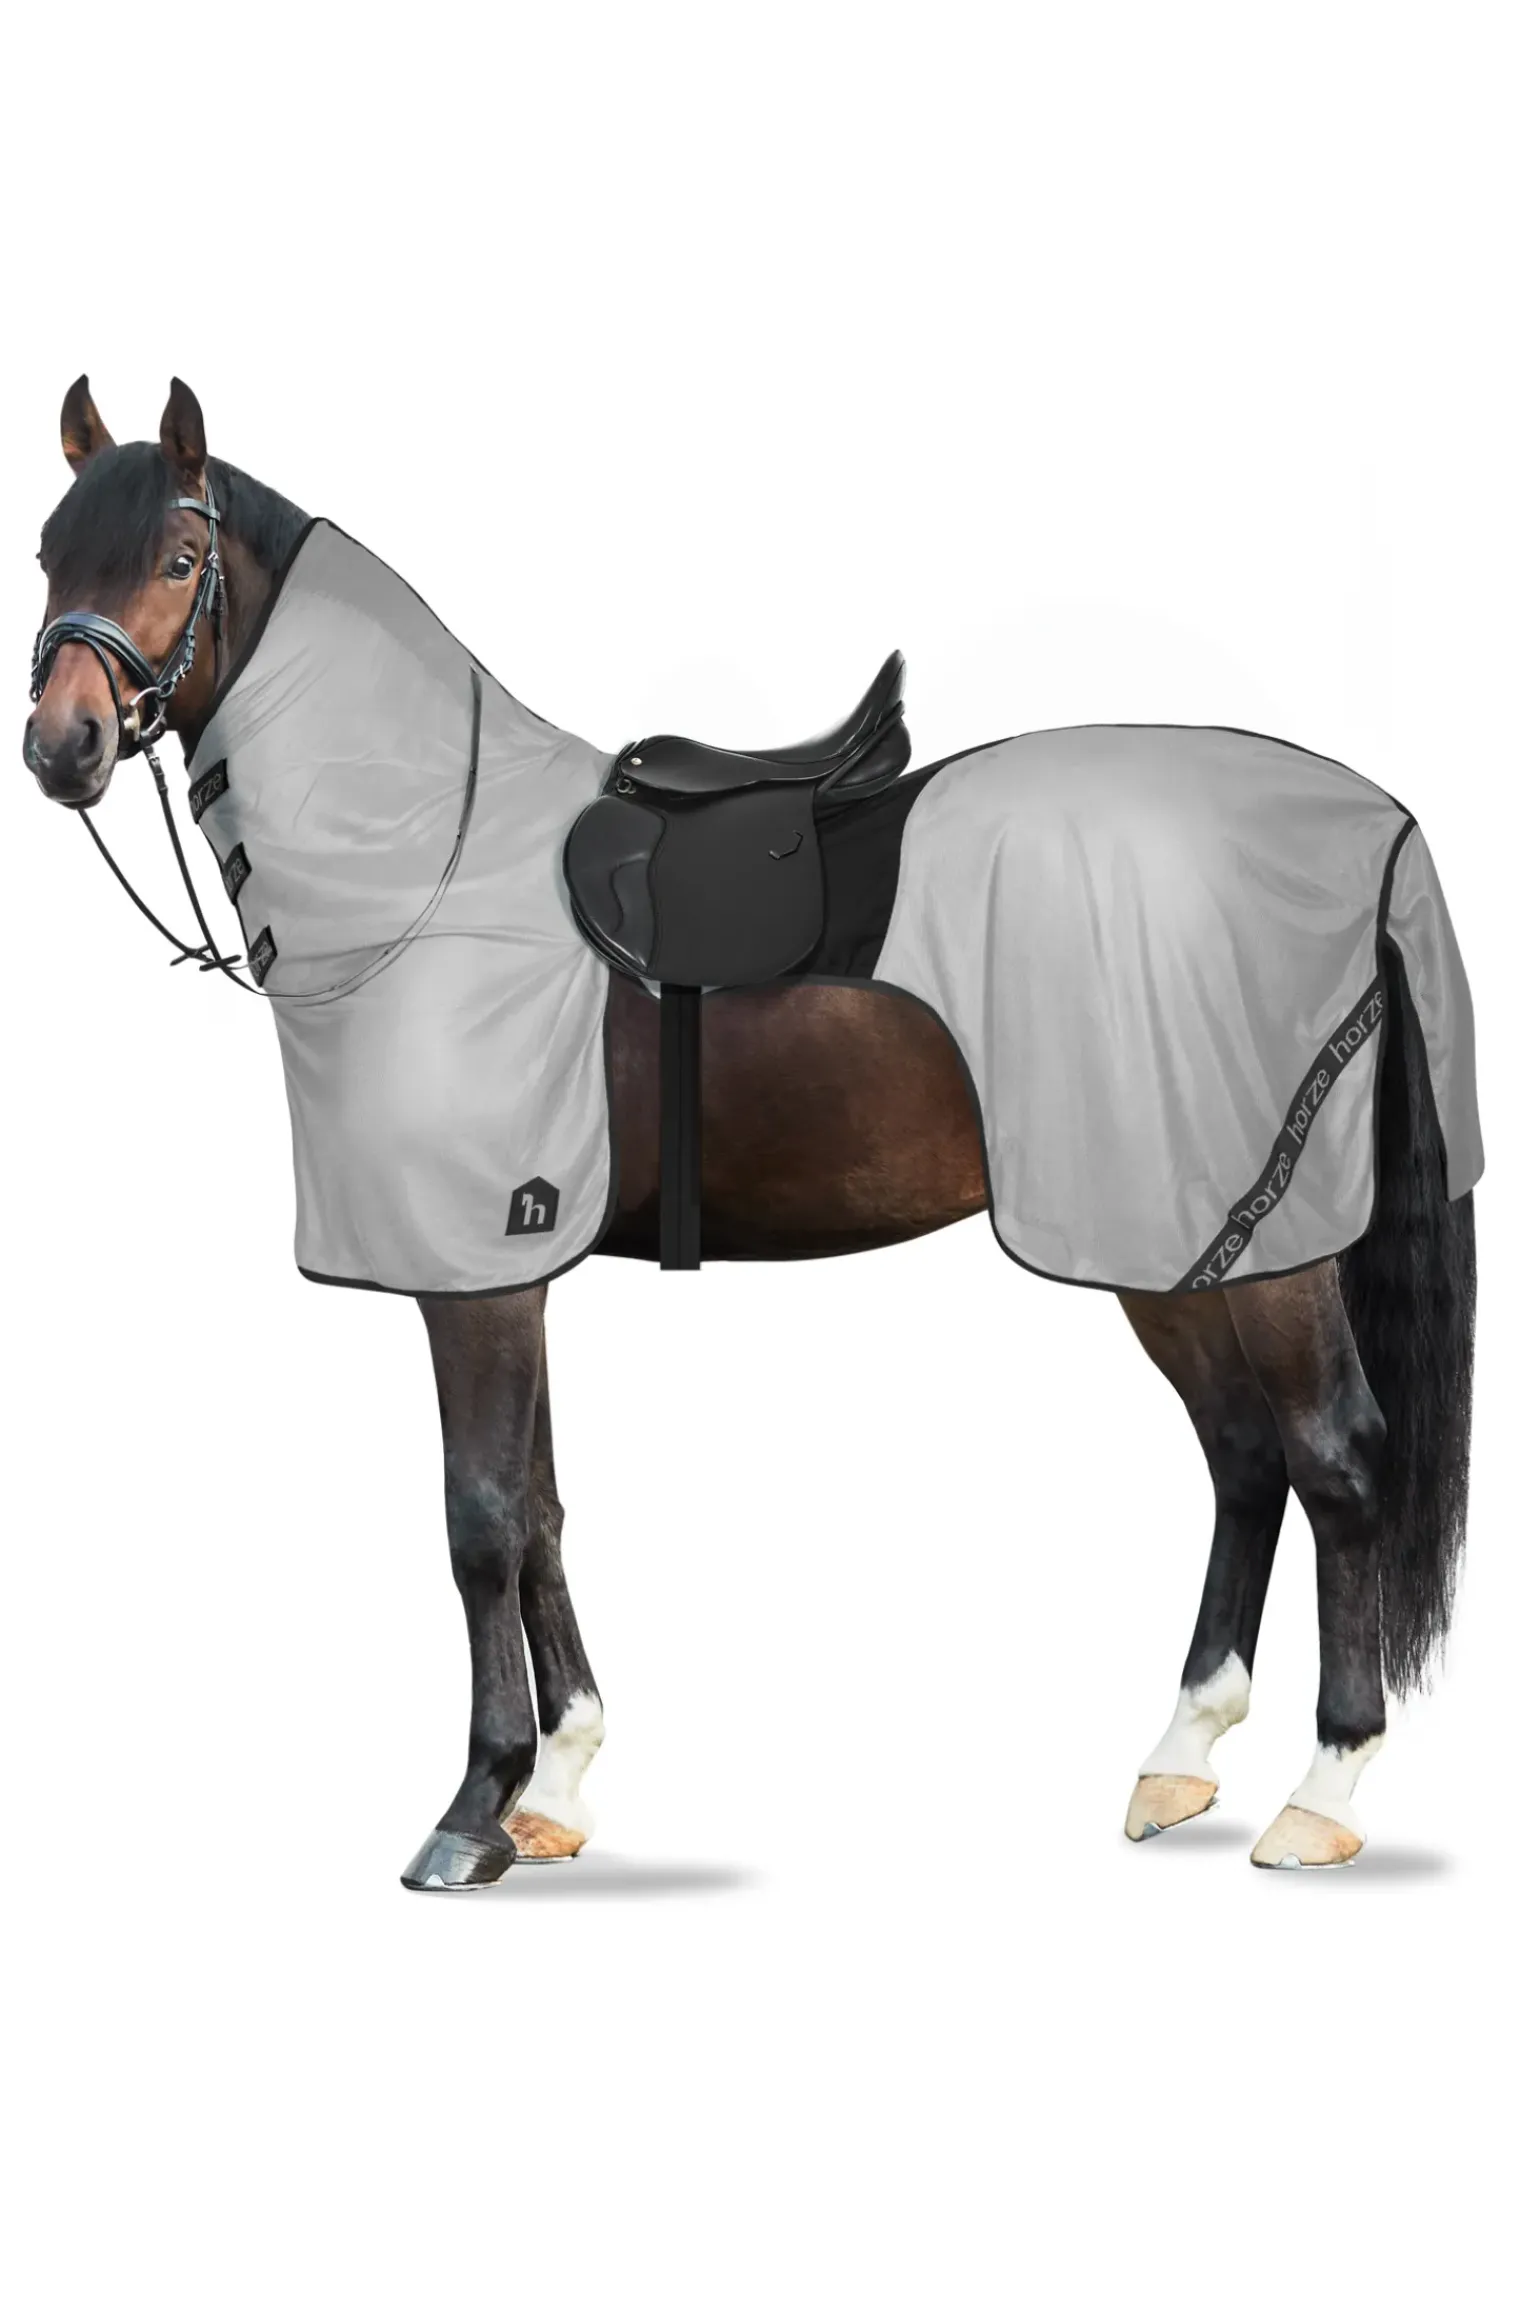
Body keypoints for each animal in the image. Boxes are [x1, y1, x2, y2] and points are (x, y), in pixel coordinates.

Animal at [22, 376, 1478, 1886]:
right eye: (50, 555)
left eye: (175, 560)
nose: (63, 748)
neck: (430, 855)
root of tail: (1375, 823)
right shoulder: (514, 1266)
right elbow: (541, 1507)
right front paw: (558, 1785)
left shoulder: (472, 1273)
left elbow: (480, 1518)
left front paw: (474, 1806)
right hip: (1169, 1236)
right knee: (1245, 1457)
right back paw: (1181, 1757)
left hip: (1261, 1240)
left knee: (1338, 1460)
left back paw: (1323, 1789)